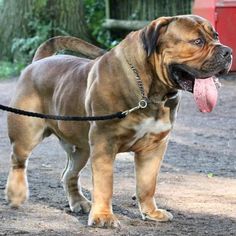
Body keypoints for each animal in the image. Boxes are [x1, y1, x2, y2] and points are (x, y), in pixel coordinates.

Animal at [5, 14, 232, 227]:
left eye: (216, 36)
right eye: (197, 41)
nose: (228, 52)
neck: (150, 92)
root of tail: (37, 63)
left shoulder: (154, 147)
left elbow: (147, 184)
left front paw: (151, 212)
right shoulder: (104, 142)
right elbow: (105, 184)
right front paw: (103, 217)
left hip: (81, 148)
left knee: (69, 173)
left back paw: (79, 203)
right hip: (27, 134)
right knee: (18, 161)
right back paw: (16, 194)